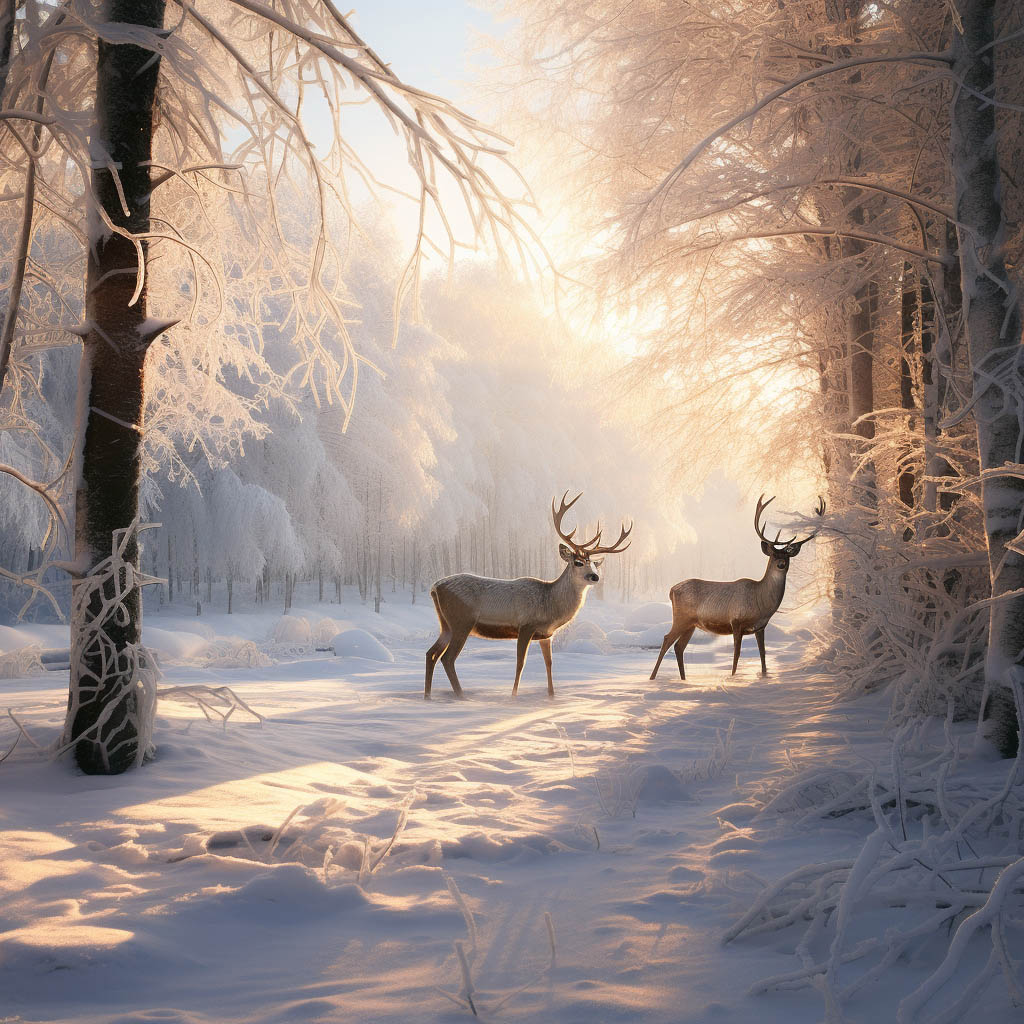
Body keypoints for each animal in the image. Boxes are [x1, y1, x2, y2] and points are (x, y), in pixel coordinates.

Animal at [423, 491, 630, 700]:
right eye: (578, 562)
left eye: (595, 564)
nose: (595, 577)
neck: (550, 604)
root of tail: (435, 587)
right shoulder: (526, 626)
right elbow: (520, 663)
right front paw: (513, 696)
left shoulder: (546, 635)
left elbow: (549, 664)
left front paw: (552, 696)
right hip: (462, 621)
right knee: (447, 658)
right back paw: (461, 696)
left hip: (446, 624)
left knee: (431, 653)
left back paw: (428, 696)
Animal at [651, 493, 827, 679]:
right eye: (773, 555)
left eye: (787, 557)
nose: (781, 564)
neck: (761, 602)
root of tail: (671, 590)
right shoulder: (736, 621)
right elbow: (737, 654)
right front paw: (733, 677)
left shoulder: (761, 627)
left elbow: (763, 654)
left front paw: (764, 676)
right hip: (682, 618)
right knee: (667, 639)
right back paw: (652, 678)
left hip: (691, 624)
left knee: (679, 647)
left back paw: (683, 680)